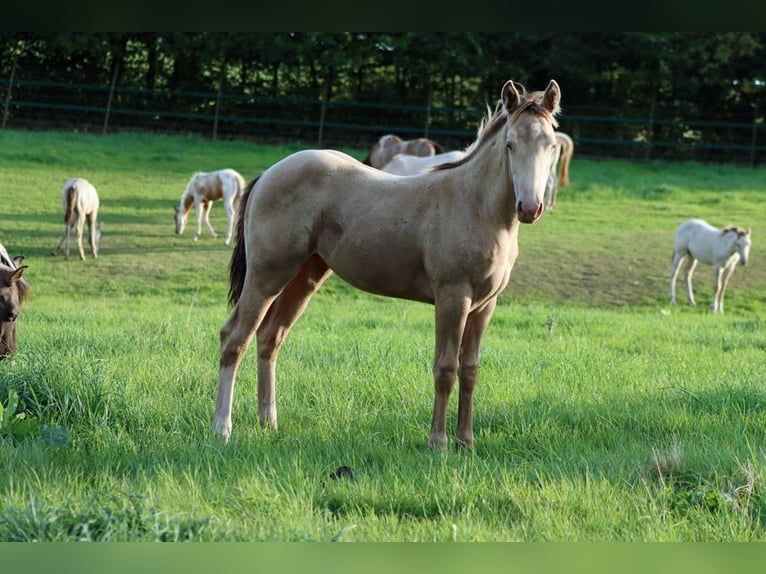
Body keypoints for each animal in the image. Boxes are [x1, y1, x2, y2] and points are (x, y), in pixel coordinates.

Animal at [214, 79, 562, 451]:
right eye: (510, 145)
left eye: (551, 145)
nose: (530, 207)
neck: (476, 206)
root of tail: (268, 174)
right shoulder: (452, 298)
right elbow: (445, 368)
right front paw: (438, 443)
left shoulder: (484, 305)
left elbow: (470, 370)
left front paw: (466, 443)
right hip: (266, 275)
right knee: (234, 338)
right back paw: (222, 428)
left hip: (305, 275)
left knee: (270, 337)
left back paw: (269, 423)